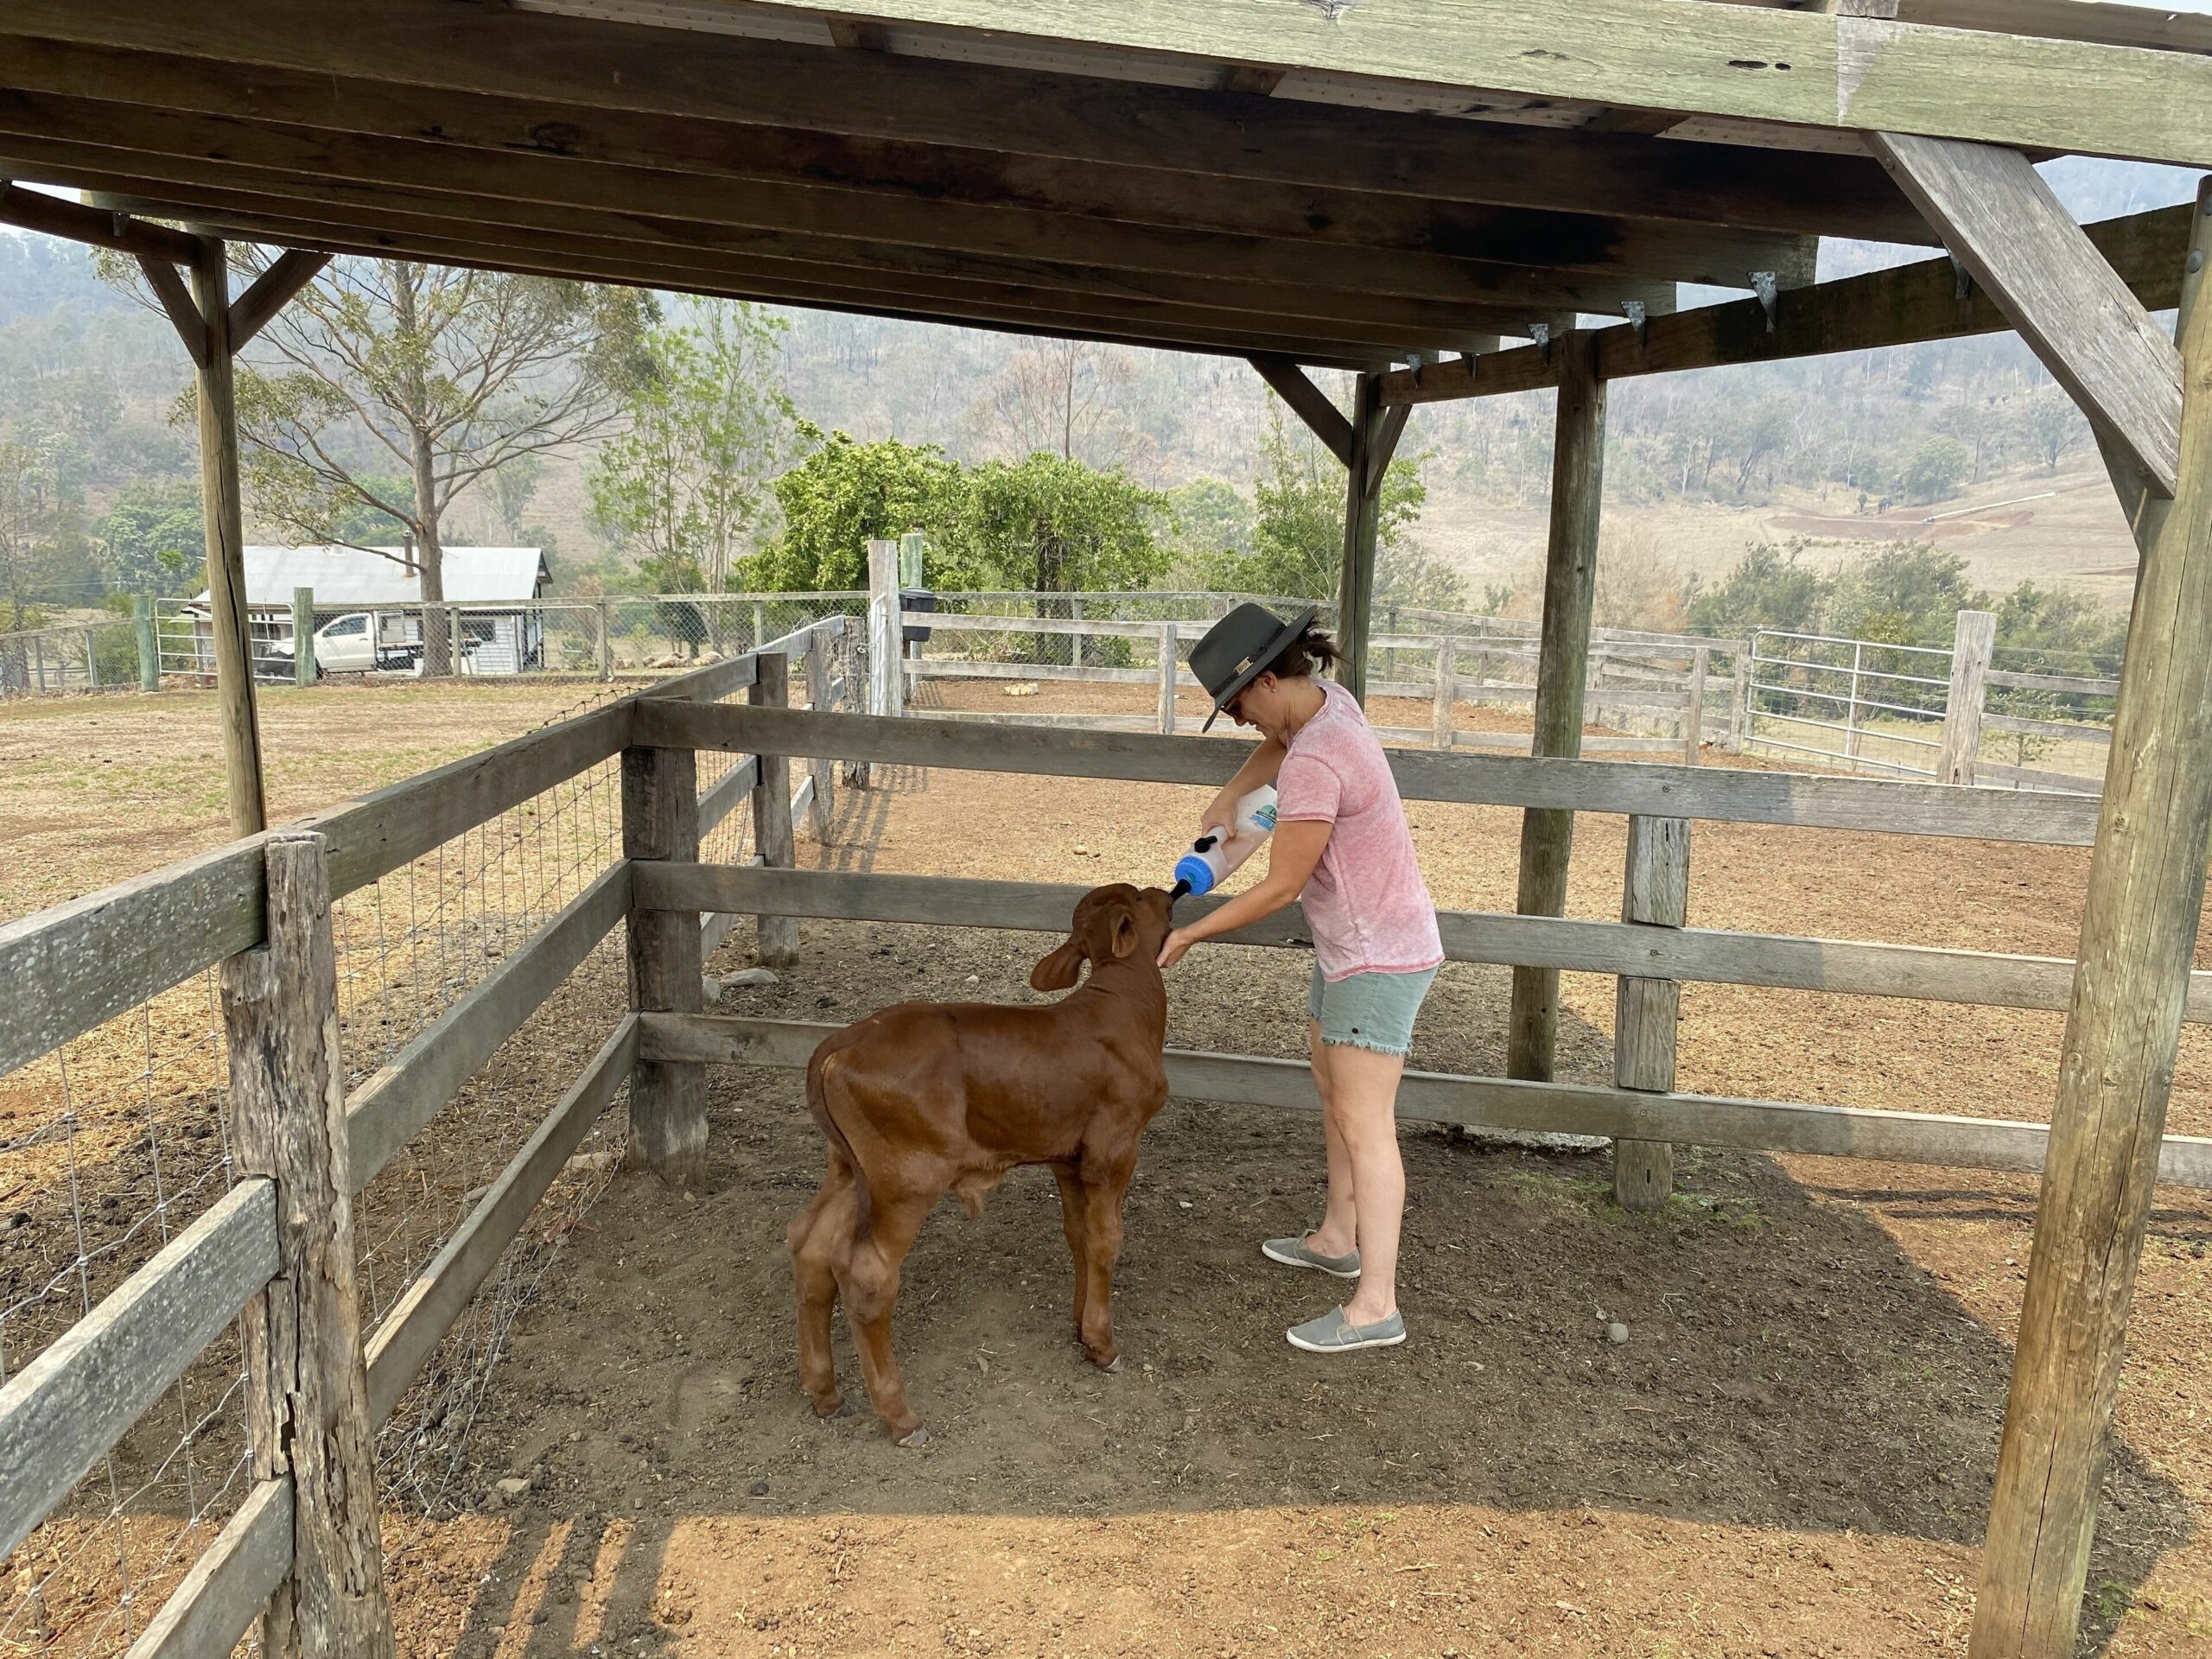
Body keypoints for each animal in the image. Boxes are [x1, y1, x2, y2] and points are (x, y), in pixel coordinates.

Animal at [791, 889, 1176, 1451]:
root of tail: (836, 1046)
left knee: (813, 1252)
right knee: (866, 1274)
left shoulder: (1066, 1159)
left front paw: (1081, 1329)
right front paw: (1104, 1346)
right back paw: (901, 1418)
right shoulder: (1113, 1149)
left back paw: (824, 1393)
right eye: (1145, 899)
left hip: (848, 1168)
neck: (1124, 1003)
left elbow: (1078, 1237)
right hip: (906, 1176)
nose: (1173, 892)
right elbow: (1106, 1242)